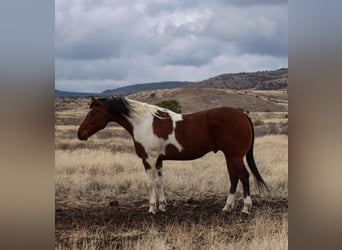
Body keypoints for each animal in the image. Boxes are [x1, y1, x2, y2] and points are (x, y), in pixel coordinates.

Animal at [77, 96, 268, 214]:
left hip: (234, 156)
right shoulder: (159, 160)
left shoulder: (149, 160)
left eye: (93, 113)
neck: (143, 122)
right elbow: (160, 182)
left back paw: (245, 208)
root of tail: (242, 114)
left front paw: (152, 208)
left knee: (243, 176)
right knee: (234, 177)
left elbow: (150, 183)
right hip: (230, 156)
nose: (80, 134)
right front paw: (162, 206)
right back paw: (227, 208)